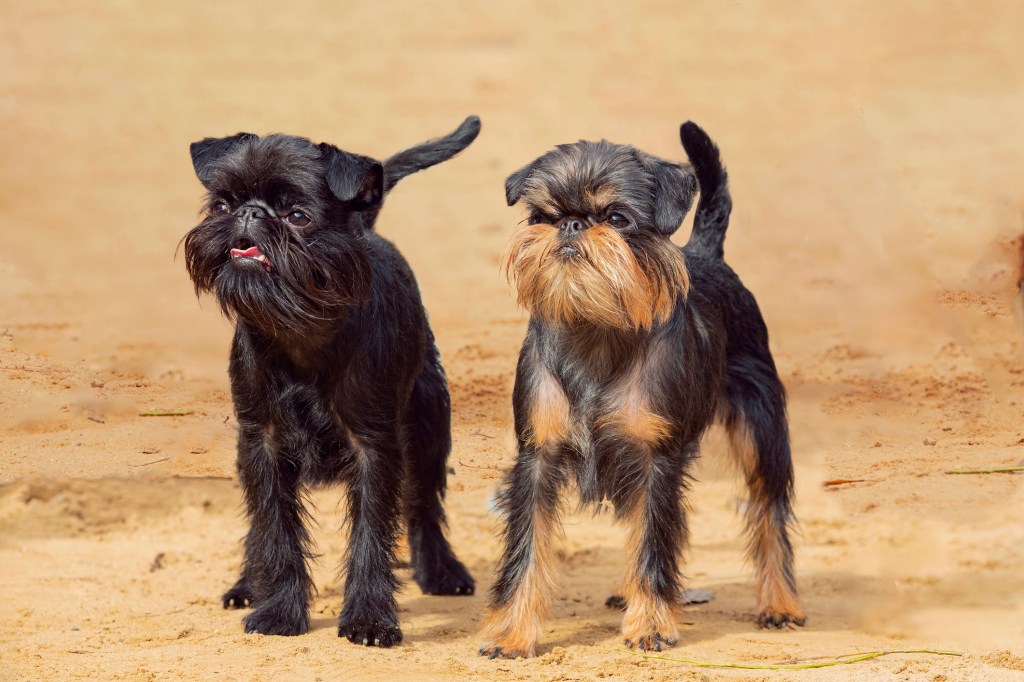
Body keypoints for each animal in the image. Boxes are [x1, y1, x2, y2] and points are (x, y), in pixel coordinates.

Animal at [183, 115, 479, 643]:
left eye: (298, 216)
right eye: (222, 205)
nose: (250, 214)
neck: (301, 328)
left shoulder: (374, 445)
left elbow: (371, 534)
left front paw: (369, 619)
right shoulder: (261, 443)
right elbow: (275, 529)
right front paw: (278, 611)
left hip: (428, 426)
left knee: (424, 504)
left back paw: (442, 572)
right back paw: (248, 583)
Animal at [483, 120, 802, 655]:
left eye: (616, 218)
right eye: (542, 216)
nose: (571, 225)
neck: (594, 327)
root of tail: (704, 253)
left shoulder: (657, 458)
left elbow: (654, 541)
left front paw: (650, 623)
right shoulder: (537, 457)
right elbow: (526, 550)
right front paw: (511, 632)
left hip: (762, 429)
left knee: (767, 511)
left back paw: (779, 603)